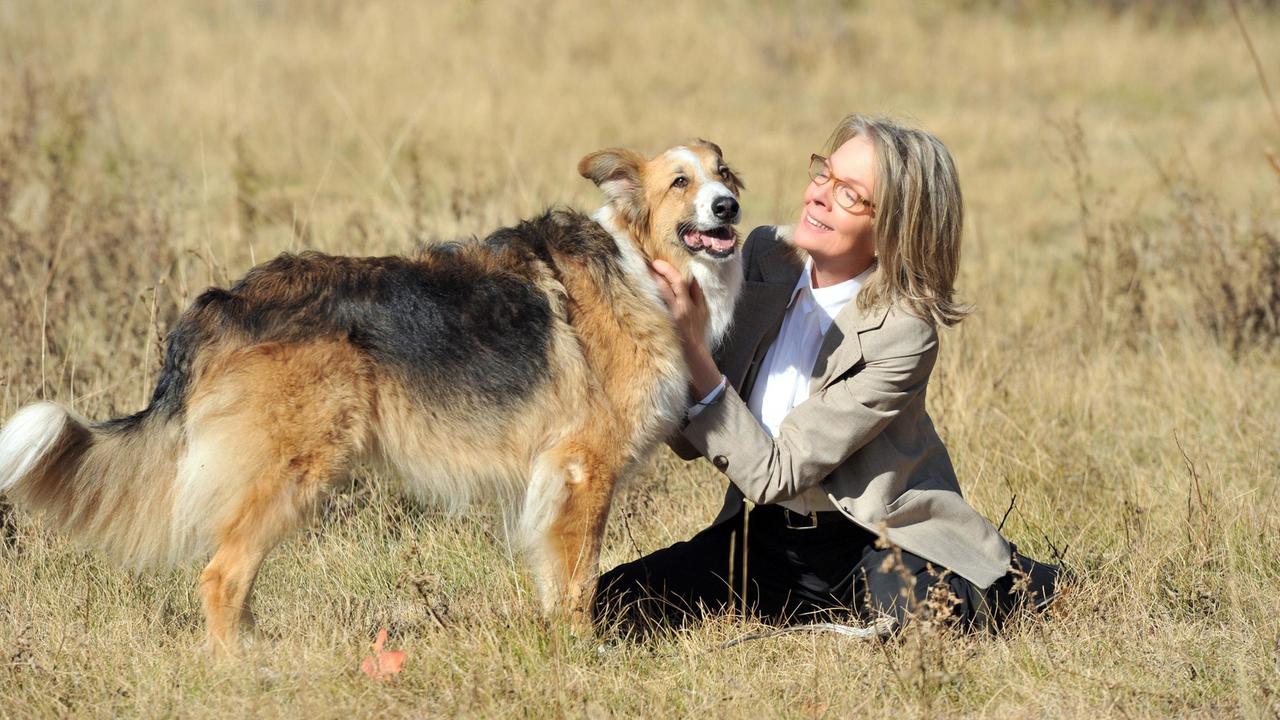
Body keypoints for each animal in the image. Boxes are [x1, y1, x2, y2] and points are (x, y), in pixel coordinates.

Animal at [0, 139, 747, 650]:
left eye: (724, 172)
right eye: (681, 182)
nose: (729, 206)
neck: (640, 264)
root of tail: (221, 305)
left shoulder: (554, 480)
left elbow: (556, 577)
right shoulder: (583, 470)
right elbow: (578, 580)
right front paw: (581, 653)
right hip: (294, 470)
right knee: (220, 576)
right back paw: (242, 668)